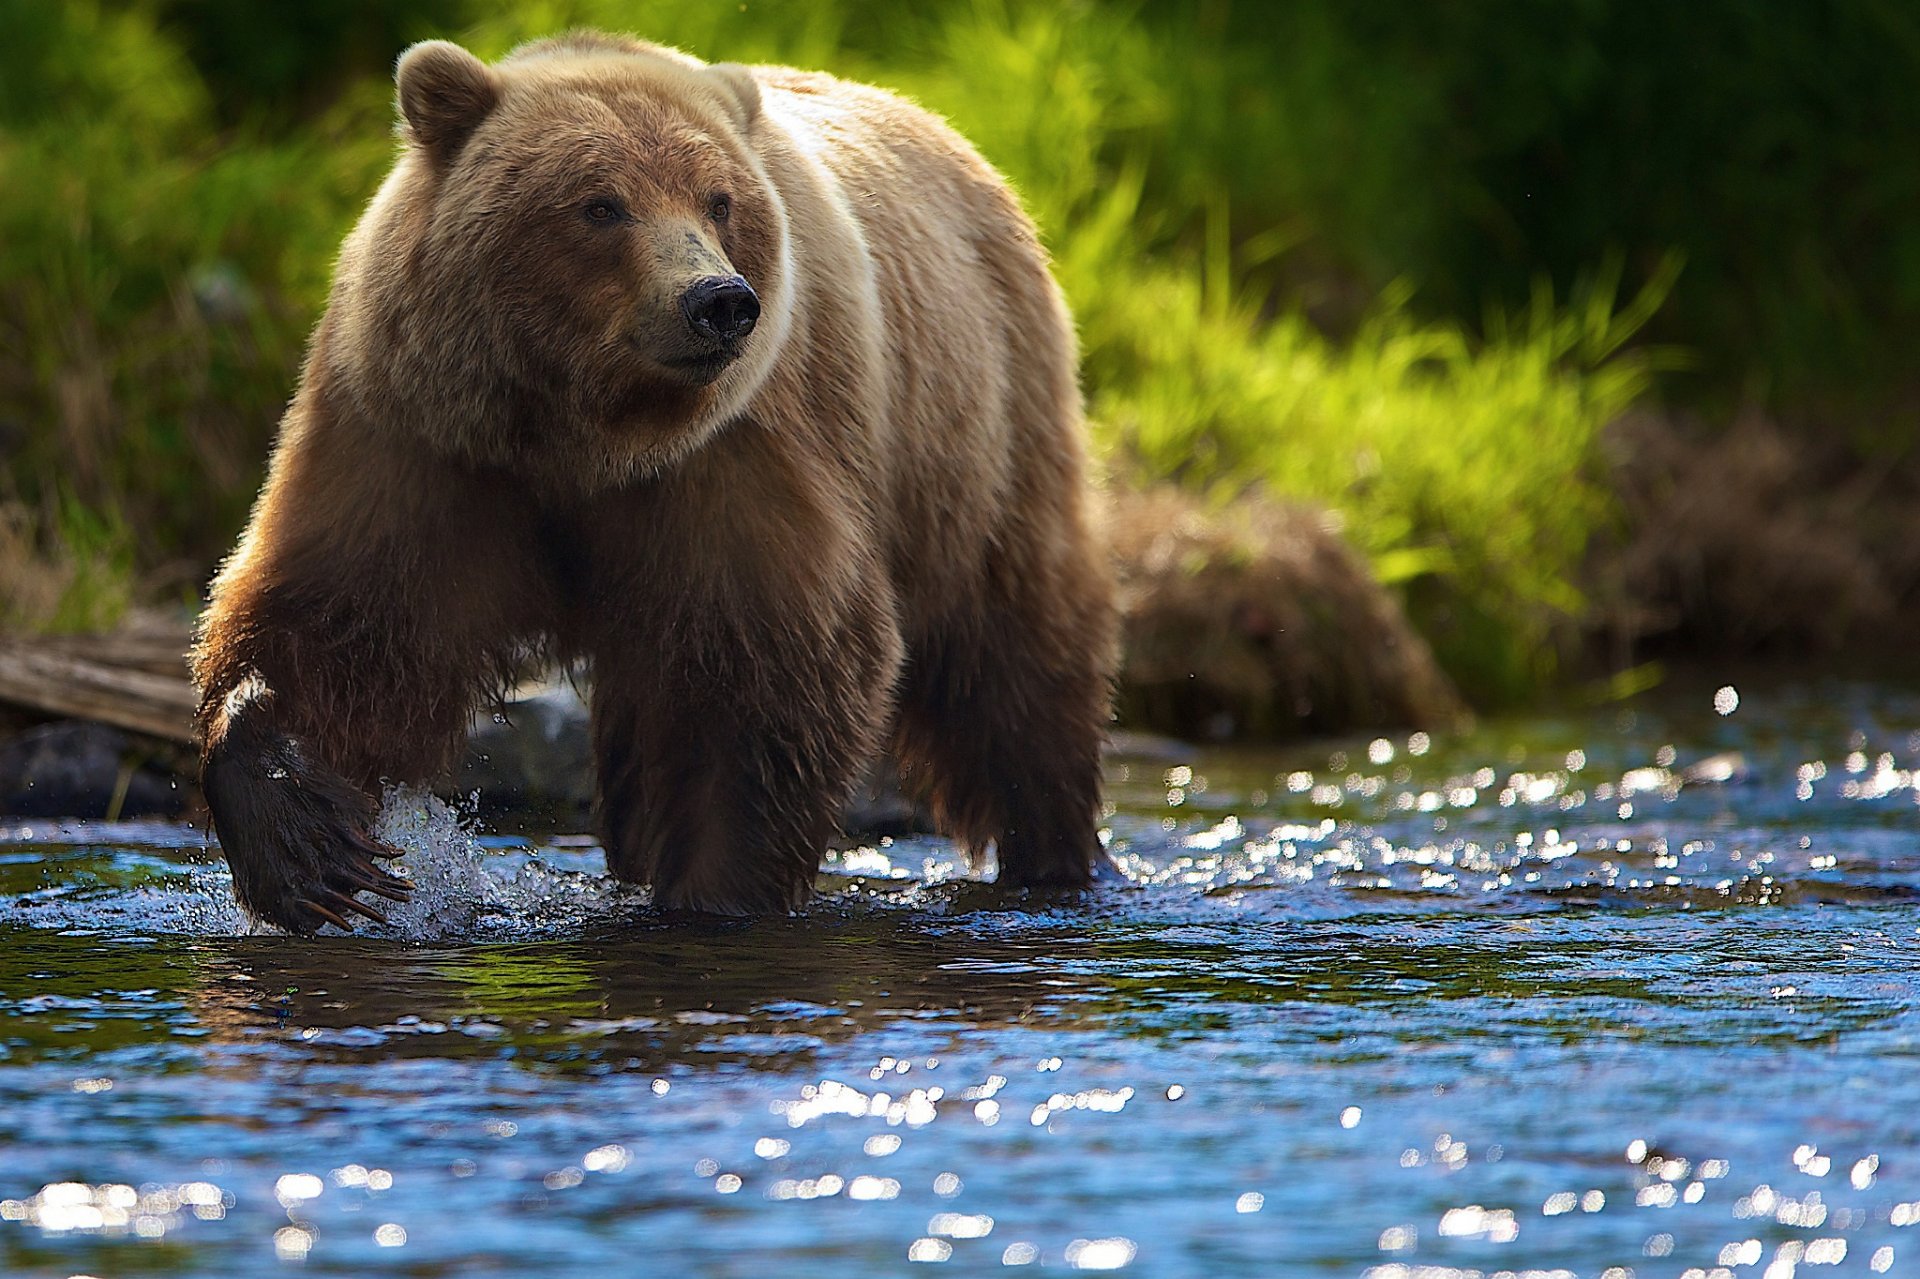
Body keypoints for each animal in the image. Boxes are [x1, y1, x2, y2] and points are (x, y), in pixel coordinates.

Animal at [190, 32, 1118, 933]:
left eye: (719, 200)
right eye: (600, 204)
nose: (719, 301)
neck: (580, 435)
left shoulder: (729, 457)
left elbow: (763, 676)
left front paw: (715, 893)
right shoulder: (428, 438)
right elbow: (345, 618)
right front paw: (309, 840)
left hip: (981, 437)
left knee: (1016, 660)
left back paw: (1057, 855)